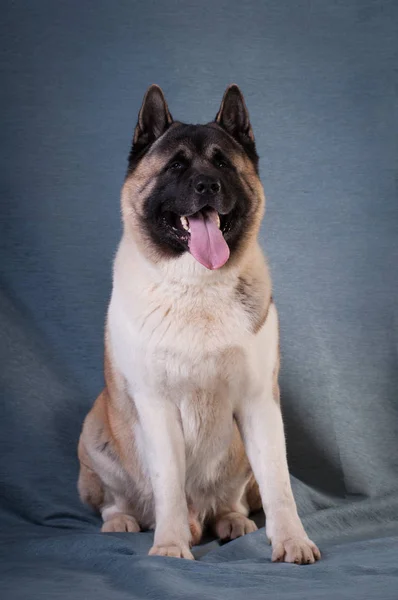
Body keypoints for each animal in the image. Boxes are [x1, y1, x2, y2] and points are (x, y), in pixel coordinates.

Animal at [77, 83, 320, 564]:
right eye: (176, 165)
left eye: (222, 163)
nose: (208, 184)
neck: (196, 287)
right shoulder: (156, 406)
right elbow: (168, 485)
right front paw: (170, 545)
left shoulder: (260, 403)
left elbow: (279, 485)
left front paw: (291, 541)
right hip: (96, 428)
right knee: (117, 498)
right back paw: (123, 520)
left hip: (237, 454)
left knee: (230, 499)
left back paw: (232, 520)